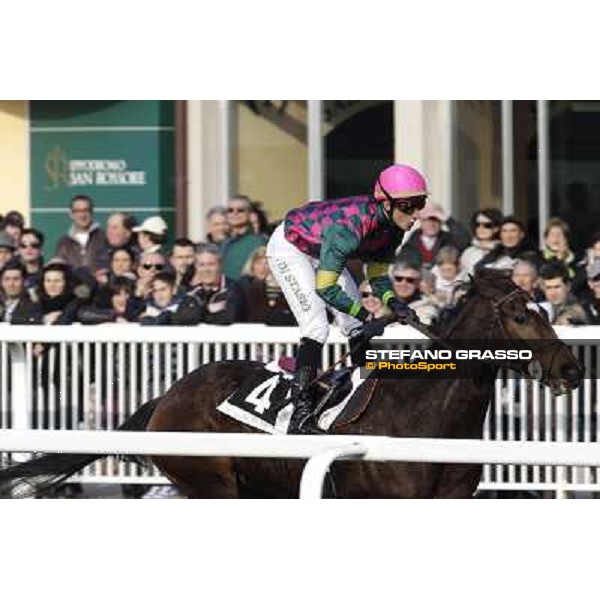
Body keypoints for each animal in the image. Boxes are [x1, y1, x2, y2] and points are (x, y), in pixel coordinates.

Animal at [0, 270, 580, 496]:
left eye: (543, 307)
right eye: (520, 316)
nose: (571, 368)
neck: (426, 419)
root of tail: (167, 396)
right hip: (212, 484)